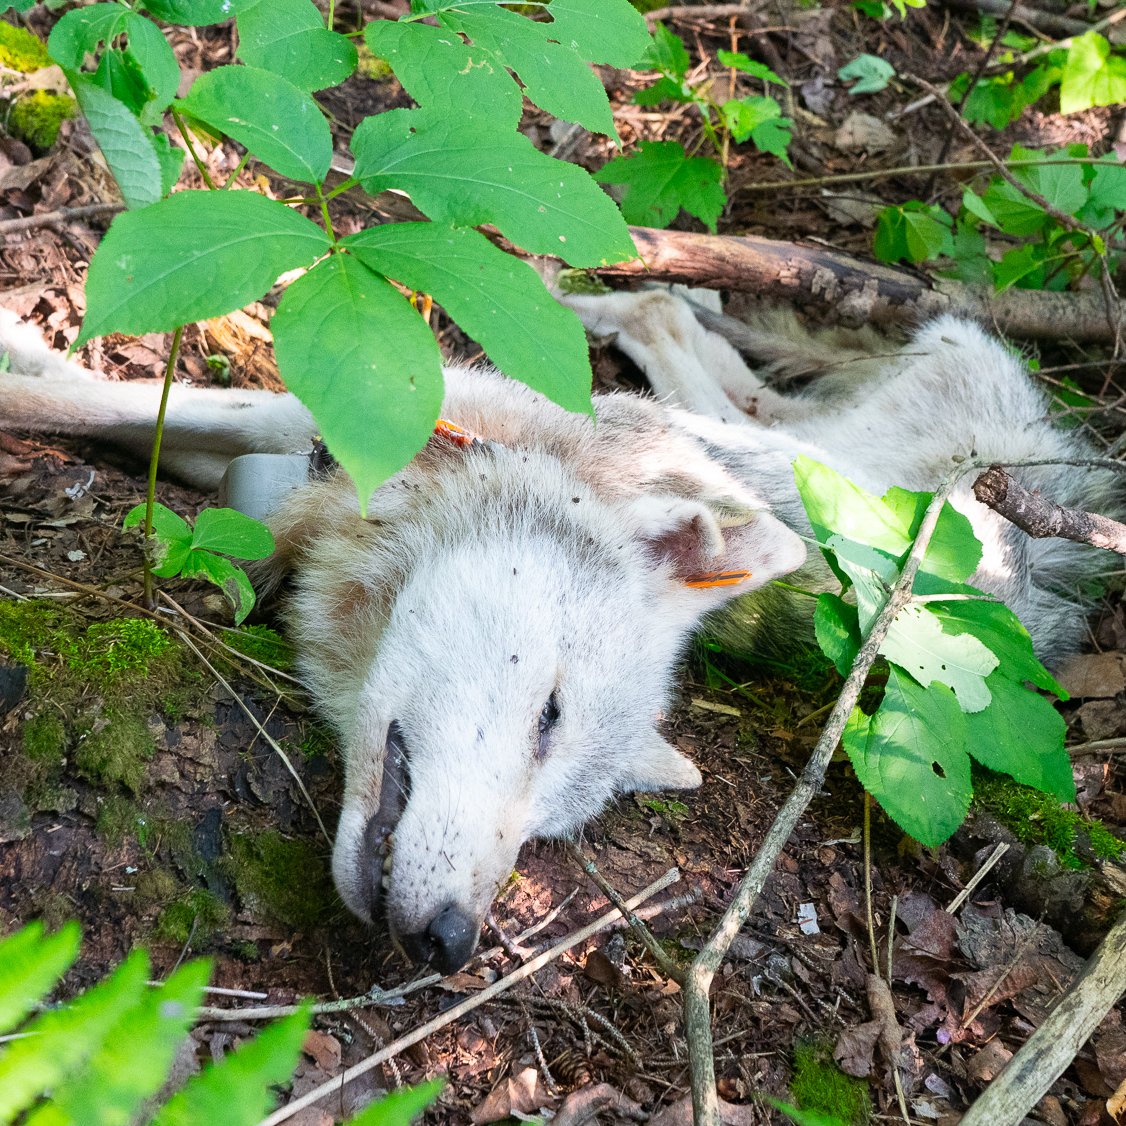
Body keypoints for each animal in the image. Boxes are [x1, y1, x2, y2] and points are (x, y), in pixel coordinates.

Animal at [0, 291, 1116, 973]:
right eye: (545, 716)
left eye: (552, 830)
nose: (453, 943)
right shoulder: (293, 428)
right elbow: (101, 403)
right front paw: (32, 359)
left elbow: (120, 414)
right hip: (798, 449)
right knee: (723, 382)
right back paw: (623, 298)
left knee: (727, 378)